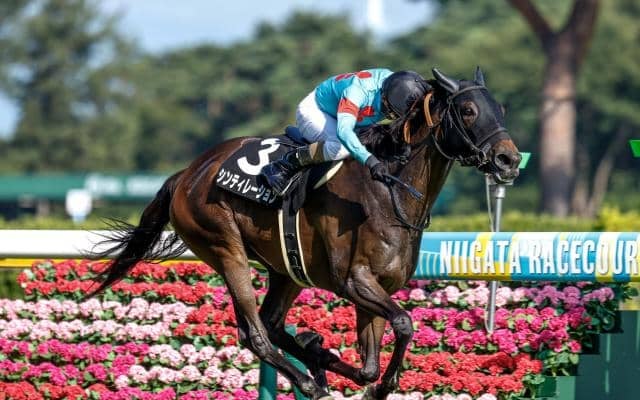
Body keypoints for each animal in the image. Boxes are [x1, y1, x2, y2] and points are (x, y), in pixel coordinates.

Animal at [89, 67, 521, 400]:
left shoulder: (379, 286)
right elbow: (403, 323)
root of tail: (186, 174)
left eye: (501, 108)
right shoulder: (354, 281)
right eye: (468, 110)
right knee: (255, 334)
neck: (391, 193)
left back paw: (315, 364)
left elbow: (369, 364)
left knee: (272, 324)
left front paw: (339, 365)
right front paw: (381, 385)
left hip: (287, 271)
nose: (509, 159)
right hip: (225, 248)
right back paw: (309, 382)